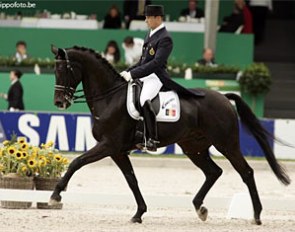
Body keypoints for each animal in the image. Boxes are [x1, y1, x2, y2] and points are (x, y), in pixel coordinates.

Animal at [49, 44, 292, 225]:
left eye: (64, 71)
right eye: (55, 71)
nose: (60, 103)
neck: (109, 97)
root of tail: (224, 97)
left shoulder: (109, 145)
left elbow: (77, 162)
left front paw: (55, 195)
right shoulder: (117, 151)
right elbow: (131, 179)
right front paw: (139, 213)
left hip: (226, 144)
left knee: (246, 172)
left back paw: (257, 215)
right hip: (194, 147)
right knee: (213, 172)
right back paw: (200, 208)